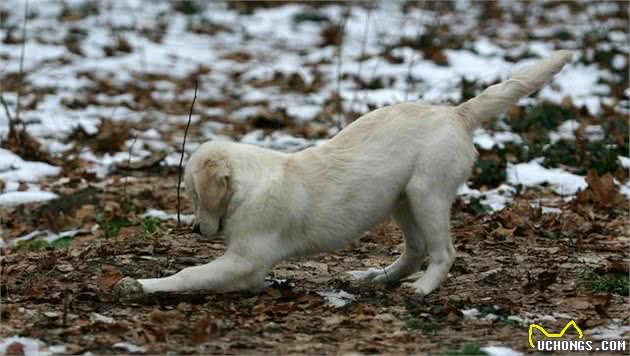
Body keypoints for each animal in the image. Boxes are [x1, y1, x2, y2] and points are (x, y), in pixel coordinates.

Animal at [112, 50, 572, 300]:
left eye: (193, 194)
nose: (193, 229)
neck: (249, 186)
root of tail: (456, 112)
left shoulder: (245, 262)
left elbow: (189, 275)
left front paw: (141, 285)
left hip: (427, 193)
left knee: (442, 252)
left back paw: (423, 289)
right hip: (401, 200)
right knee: (415, 250)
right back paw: (375, 277)